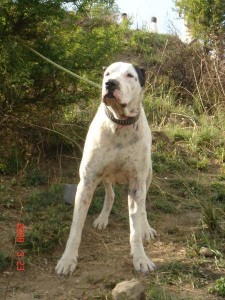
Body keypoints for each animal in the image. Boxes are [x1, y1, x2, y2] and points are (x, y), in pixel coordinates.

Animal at [55, 62, 156, 276]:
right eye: (107, 74)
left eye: (130, 75)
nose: (110, 84)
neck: (120, 123)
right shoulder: (87, 182)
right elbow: (76, 227)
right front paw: (68, 259)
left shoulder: (137, 185)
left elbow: (135, 226)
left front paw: (140, 258)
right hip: (104, 176)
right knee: (111, 194)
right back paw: (102, 218)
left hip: (147, 175)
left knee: (143, 207)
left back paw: (146, 228)